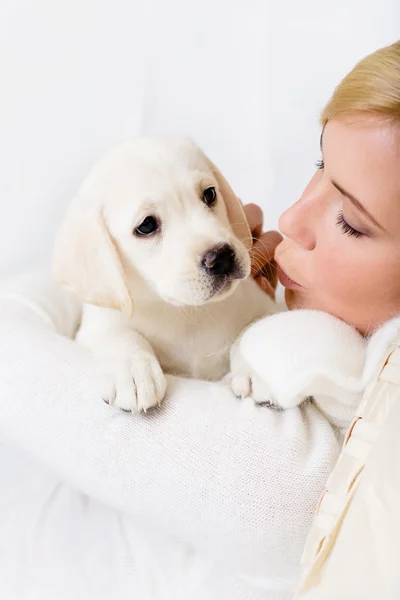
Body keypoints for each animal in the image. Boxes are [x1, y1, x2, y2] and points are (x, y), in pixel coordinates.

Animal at [52, 137, 276, 412]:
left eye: (210, 194)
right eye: (147, 225)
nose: (222, 257)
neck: (187, 313)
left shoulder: (266, 304)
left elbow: (256, 324)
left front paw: (259, 364)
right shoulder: (93, 328)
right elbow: (117, 334)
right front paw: (133, 370)